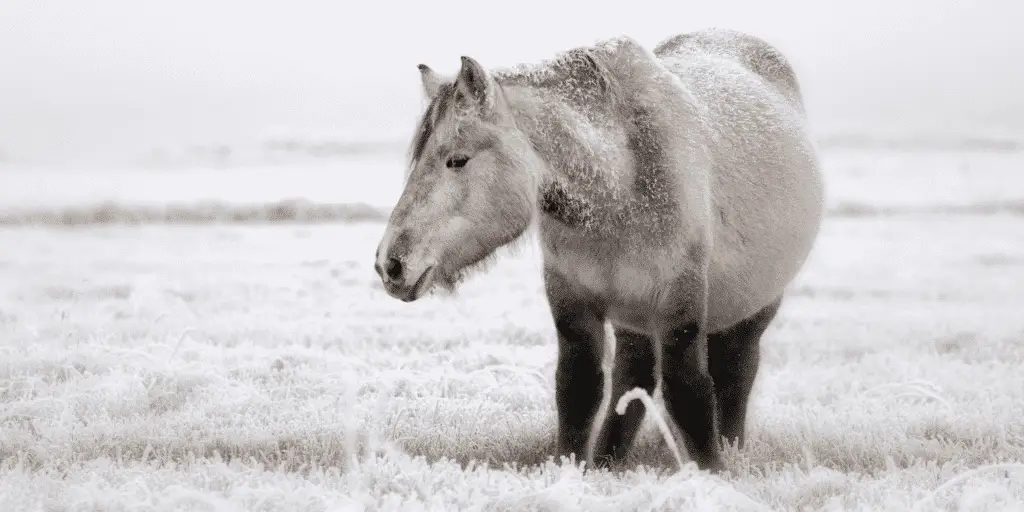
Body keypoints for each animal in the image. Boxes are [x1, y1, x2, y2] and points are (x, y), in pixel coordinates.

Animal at [374, 29, 823, 475]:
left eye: (458, 160)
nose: (389, 264)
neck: (619, 183)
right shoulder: (571, 298)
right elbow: (578, 390)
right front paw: (572, 469)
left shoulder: (680, 302)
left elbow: (689, 392)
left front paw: (711, 473)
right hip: (634, 315)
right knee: (634, 375)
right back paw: (611, 459)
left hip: (755, 306)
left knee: (735, 372)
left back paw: (731, 447)